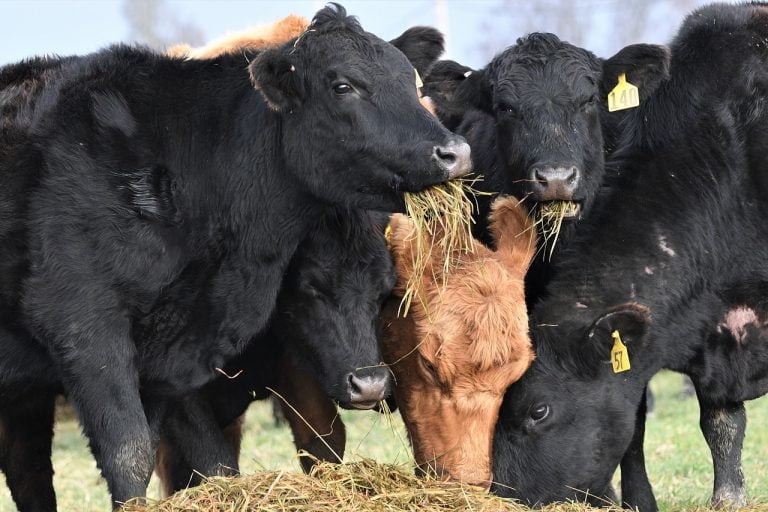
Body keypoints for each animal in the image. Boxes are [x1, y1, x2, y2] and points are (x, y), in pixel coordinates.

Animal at [0, 3, 471, 507]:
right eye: (343, 85)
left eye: (413, 84)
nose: (456, 152)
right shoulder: (85, 329)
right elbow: (131, 455)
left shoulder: (164, 358)